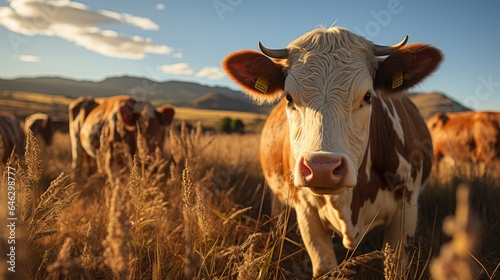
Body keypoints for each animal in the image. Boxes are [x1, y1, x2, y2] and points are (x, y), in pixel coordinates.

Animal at [223, 26, 442, 278]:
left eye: (368, 96)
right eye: (289, 97)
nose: (321, 169)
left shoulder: (406, 208)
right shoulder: (306, 213)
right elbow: (324, 266)